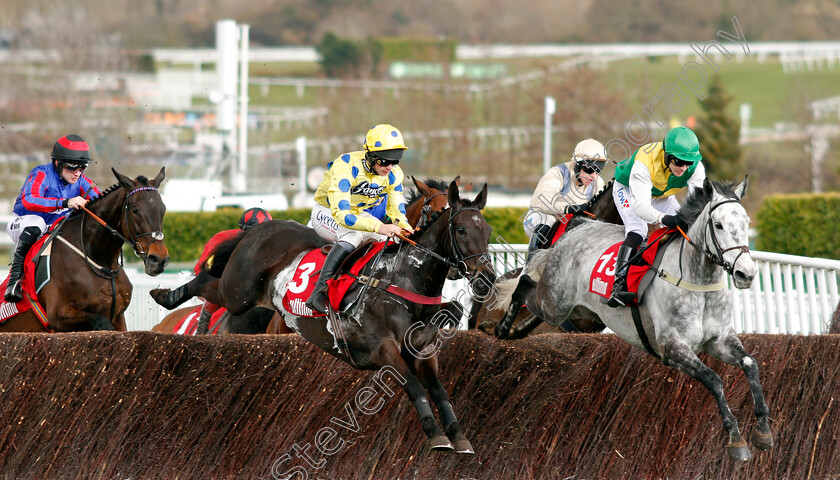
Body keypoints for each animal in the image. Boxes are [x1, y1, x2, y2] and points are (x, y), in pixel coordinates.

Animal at [0, 167, 169, 332]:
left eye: (163, 210)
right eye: (135, 210)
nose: (159, 260)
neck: (98, 260)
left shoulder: (119, 315)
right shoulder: (58, 315)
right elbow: (102, 323)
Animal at [153, 180, 492, 454]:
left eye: (487, 231)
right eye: (461, 229)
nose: (486, 278)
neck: (403, 279)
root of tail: (260, 229)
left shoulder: (424, 353)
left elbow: (439, 391)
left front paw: (458, 436)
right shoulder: (383, 350)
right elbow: (415, 387)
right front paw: (436, 435)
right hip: (238, 293)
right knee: (204, 282)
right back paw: (165, 295)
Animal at [492, 177, 776, 462]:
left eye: (747, 222)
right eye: (718, 225)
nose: (746, 273)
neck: (697, 280)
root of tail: (579, 225)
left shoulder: (719, 340)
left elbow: (751, 364)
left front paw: (763, 430)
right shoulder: (672, 348)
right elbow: (714, 379)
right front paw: (736, 439)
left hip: (579, 311)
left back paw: (516, 331)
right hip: (556, 301)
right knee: (524, 285)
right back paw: (502, 328)